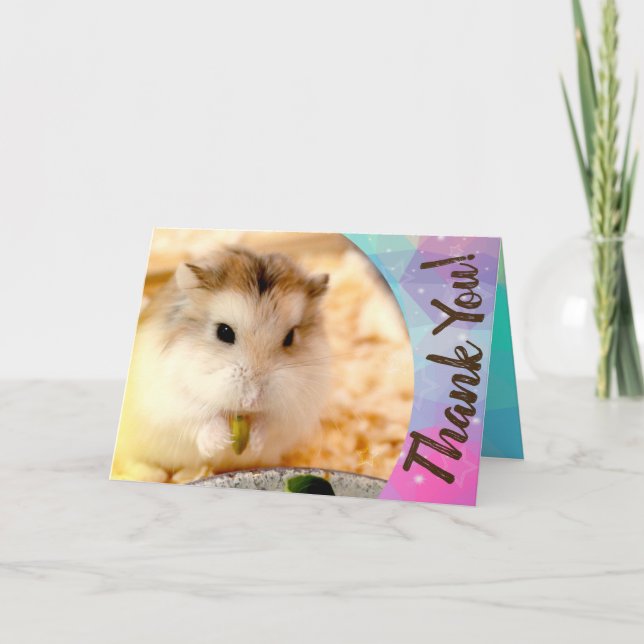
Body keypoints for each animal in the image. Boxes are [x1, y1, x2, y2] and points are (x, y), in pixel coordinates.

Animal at [111, 246, 331, 484]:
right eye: (224, 332)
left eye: (290, 337)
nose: (251, 401)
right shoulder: (168, 400)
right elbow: (197, 416)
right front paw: (220, 442)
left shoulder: (295, 409)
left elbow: (271, 422)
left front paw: (255, 442)